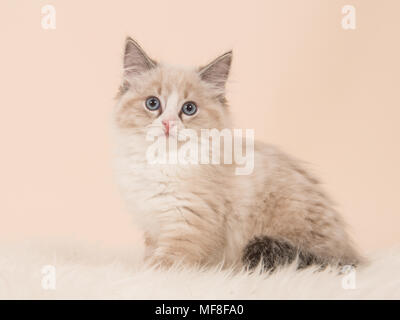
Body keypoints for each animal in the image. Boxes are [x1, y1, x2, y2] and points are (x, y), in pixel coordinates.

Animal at [112, 38, 362, 272]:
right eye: (152, 103)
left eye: (189, 109)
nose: (167, 124)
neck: (162, 164)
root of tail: (350, 257)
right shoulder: (153, 227)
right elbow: (150, 254)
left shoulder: (188, 226)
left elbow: (162, 263)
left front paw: (142, 272)